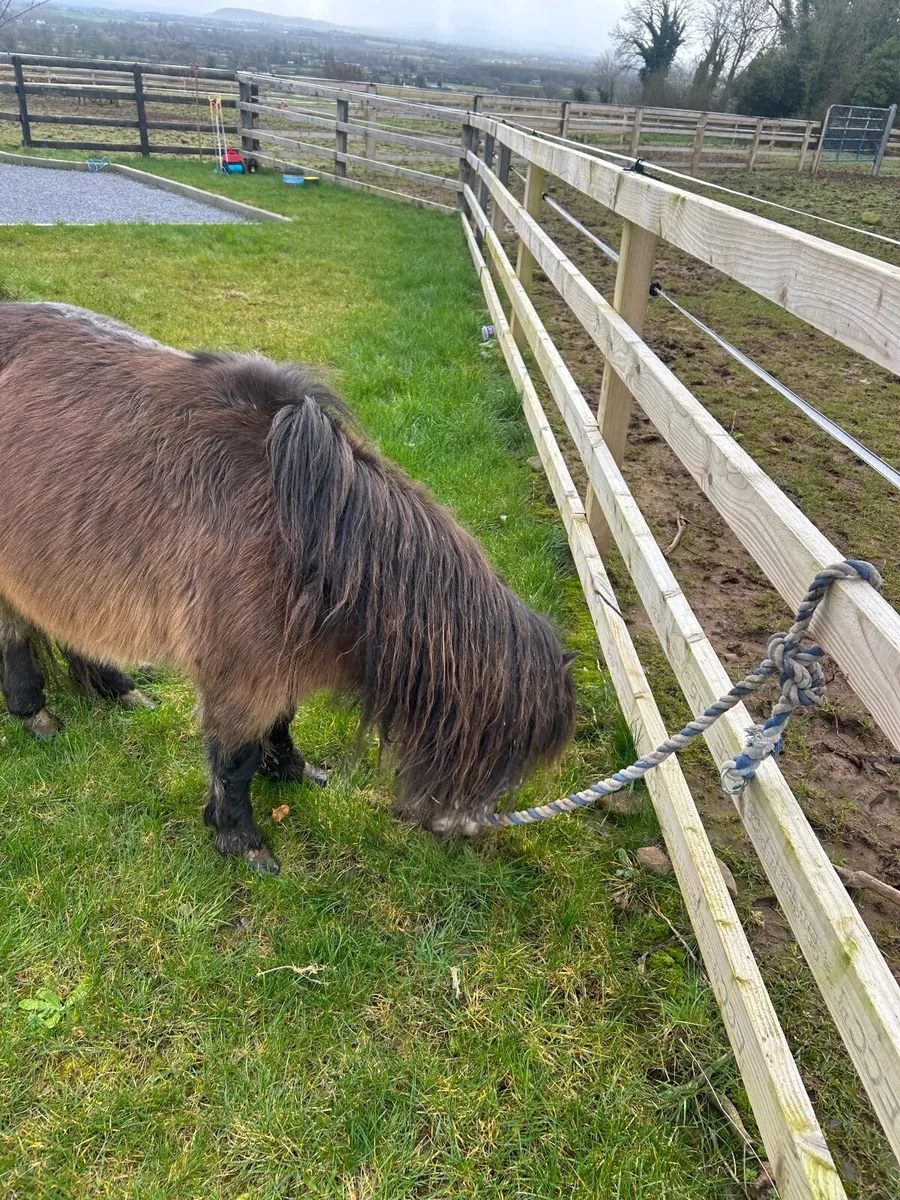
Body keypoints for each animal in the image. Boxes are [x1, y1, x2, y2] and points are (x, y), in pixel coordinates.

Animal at [0, 303, 577, 873]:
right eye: (503, 764)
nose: (472, 831)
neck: (309, 540)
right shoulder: (240, 671)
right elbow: (236, 760)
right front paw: (241, 838)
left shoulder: (275, 661)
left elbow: (280, 721)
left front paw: (293, 771)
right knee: (15, 638)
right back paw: (36, 716)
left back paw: (118, 689)